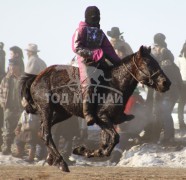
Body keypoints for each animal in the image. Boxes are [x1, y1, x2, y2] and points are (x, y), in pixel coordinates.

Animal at [19, 45, 171, 172]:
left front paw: (83, 150)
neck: (114, 83)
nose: (166, 83)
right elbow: (114, 138)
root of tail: (36, 77)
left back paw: (52, 159)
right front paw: (86, 151)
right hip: (46, 109)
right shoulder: (101, 117)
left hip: (63, 113)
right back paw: (61, 162)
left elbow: (105, 142)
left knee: (43, 131)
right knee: (46, 133)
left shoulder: (107, 121)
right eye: (148, 63)